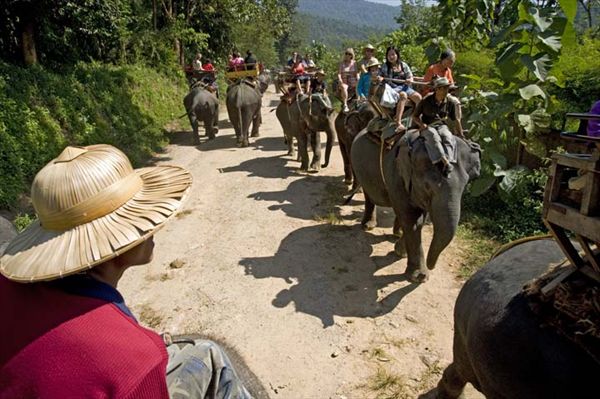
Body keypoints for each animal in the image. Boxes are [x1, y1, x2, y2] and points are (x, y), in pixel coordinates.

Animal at [350, 123, 480, 282]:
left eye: (465, 186)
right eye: (427, 186)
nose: (432, 267)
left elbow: (419, 219)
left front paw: (400, 252)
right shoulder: (396, 176)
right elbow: (411, 219)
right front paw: (418, 277)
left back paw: (396, 233)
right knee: (368, 195)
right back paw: (368, 226)